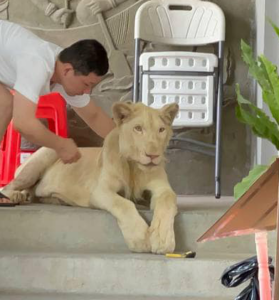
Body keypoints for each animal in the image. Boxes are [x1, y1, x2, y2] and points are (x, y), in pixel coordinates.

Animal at [1, 102, 178, 254]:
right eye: (138, 128)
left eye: (161, 130)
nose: (153, 155)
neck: (134, 167)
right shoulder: (100, 191)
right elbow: (124, 204)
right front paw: (141, 237)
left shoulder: (162, 188)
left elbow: (168, 199)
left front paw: (162, 240)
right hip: (46, 155)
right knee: (8, 186)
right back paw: (16, 196)